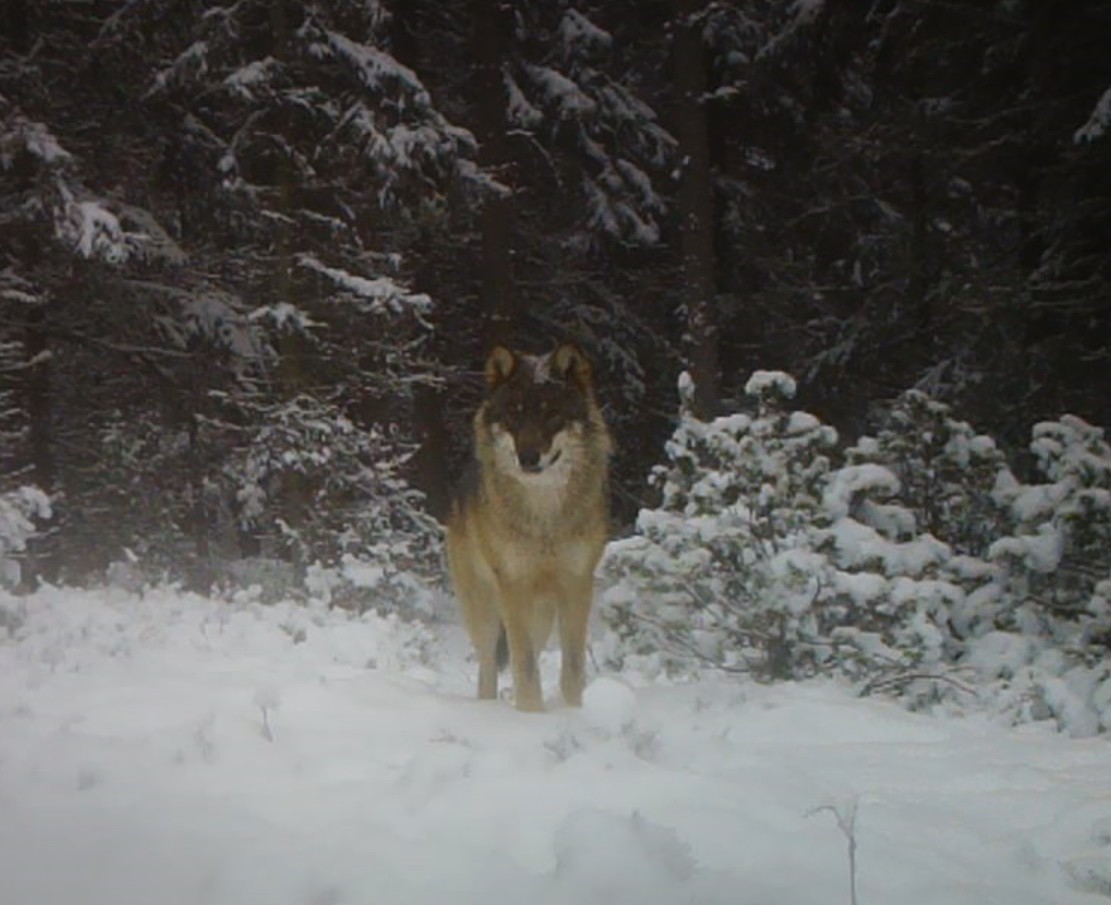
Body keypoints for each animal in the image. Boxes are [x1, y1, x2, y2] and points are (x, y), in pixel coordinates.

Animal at [444, 344, 617, 710]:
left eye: (550, 415)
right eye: (514, 415)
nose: (528, 457)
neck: (544, 517)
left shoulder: (577, 584)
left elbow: (571, 668)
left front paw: (574, 711)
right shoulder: (514, 584)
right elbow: (523, 668)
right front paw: (530, 714)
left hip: (541, 615)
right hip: (484, 611)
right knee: (488, 667)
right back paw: (487, 706)